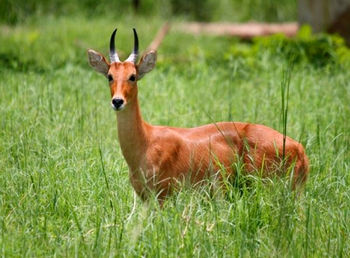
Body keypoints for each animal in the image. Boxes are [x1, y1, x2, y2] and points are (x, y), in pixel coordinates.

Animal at [87, 27, 308, 203]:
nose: (117, 101)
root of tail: (300, 149)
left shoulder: (163, 197)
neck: (146, 142)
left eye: (132, 76)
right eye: (110, 76)